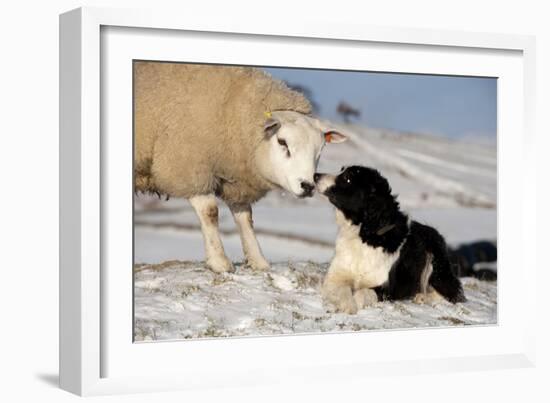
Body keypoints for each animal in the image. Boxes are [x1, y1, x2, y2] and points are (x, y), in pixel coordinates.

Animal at [135, 61, 348, 274]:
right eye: (282, 142)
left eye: (320, 149)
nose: (308, 186)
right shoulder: (189, 167)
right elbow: (210, 212)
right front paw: (219, 261)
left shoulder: (237, 182)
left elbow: (246, 219)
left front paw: (258, 260)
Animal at [314, 166, 466, 314]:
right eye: (341, 170)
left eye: (348, 178)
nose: (315, 175)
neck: (364, 234)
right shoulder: (335, 276)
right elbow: (342, 289)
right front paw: (347, 305)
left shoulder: (387, 288)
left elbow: (364, 292)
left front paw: (354, 303)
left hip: (436, 262)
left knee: (452, 294)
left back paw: (422, 297)